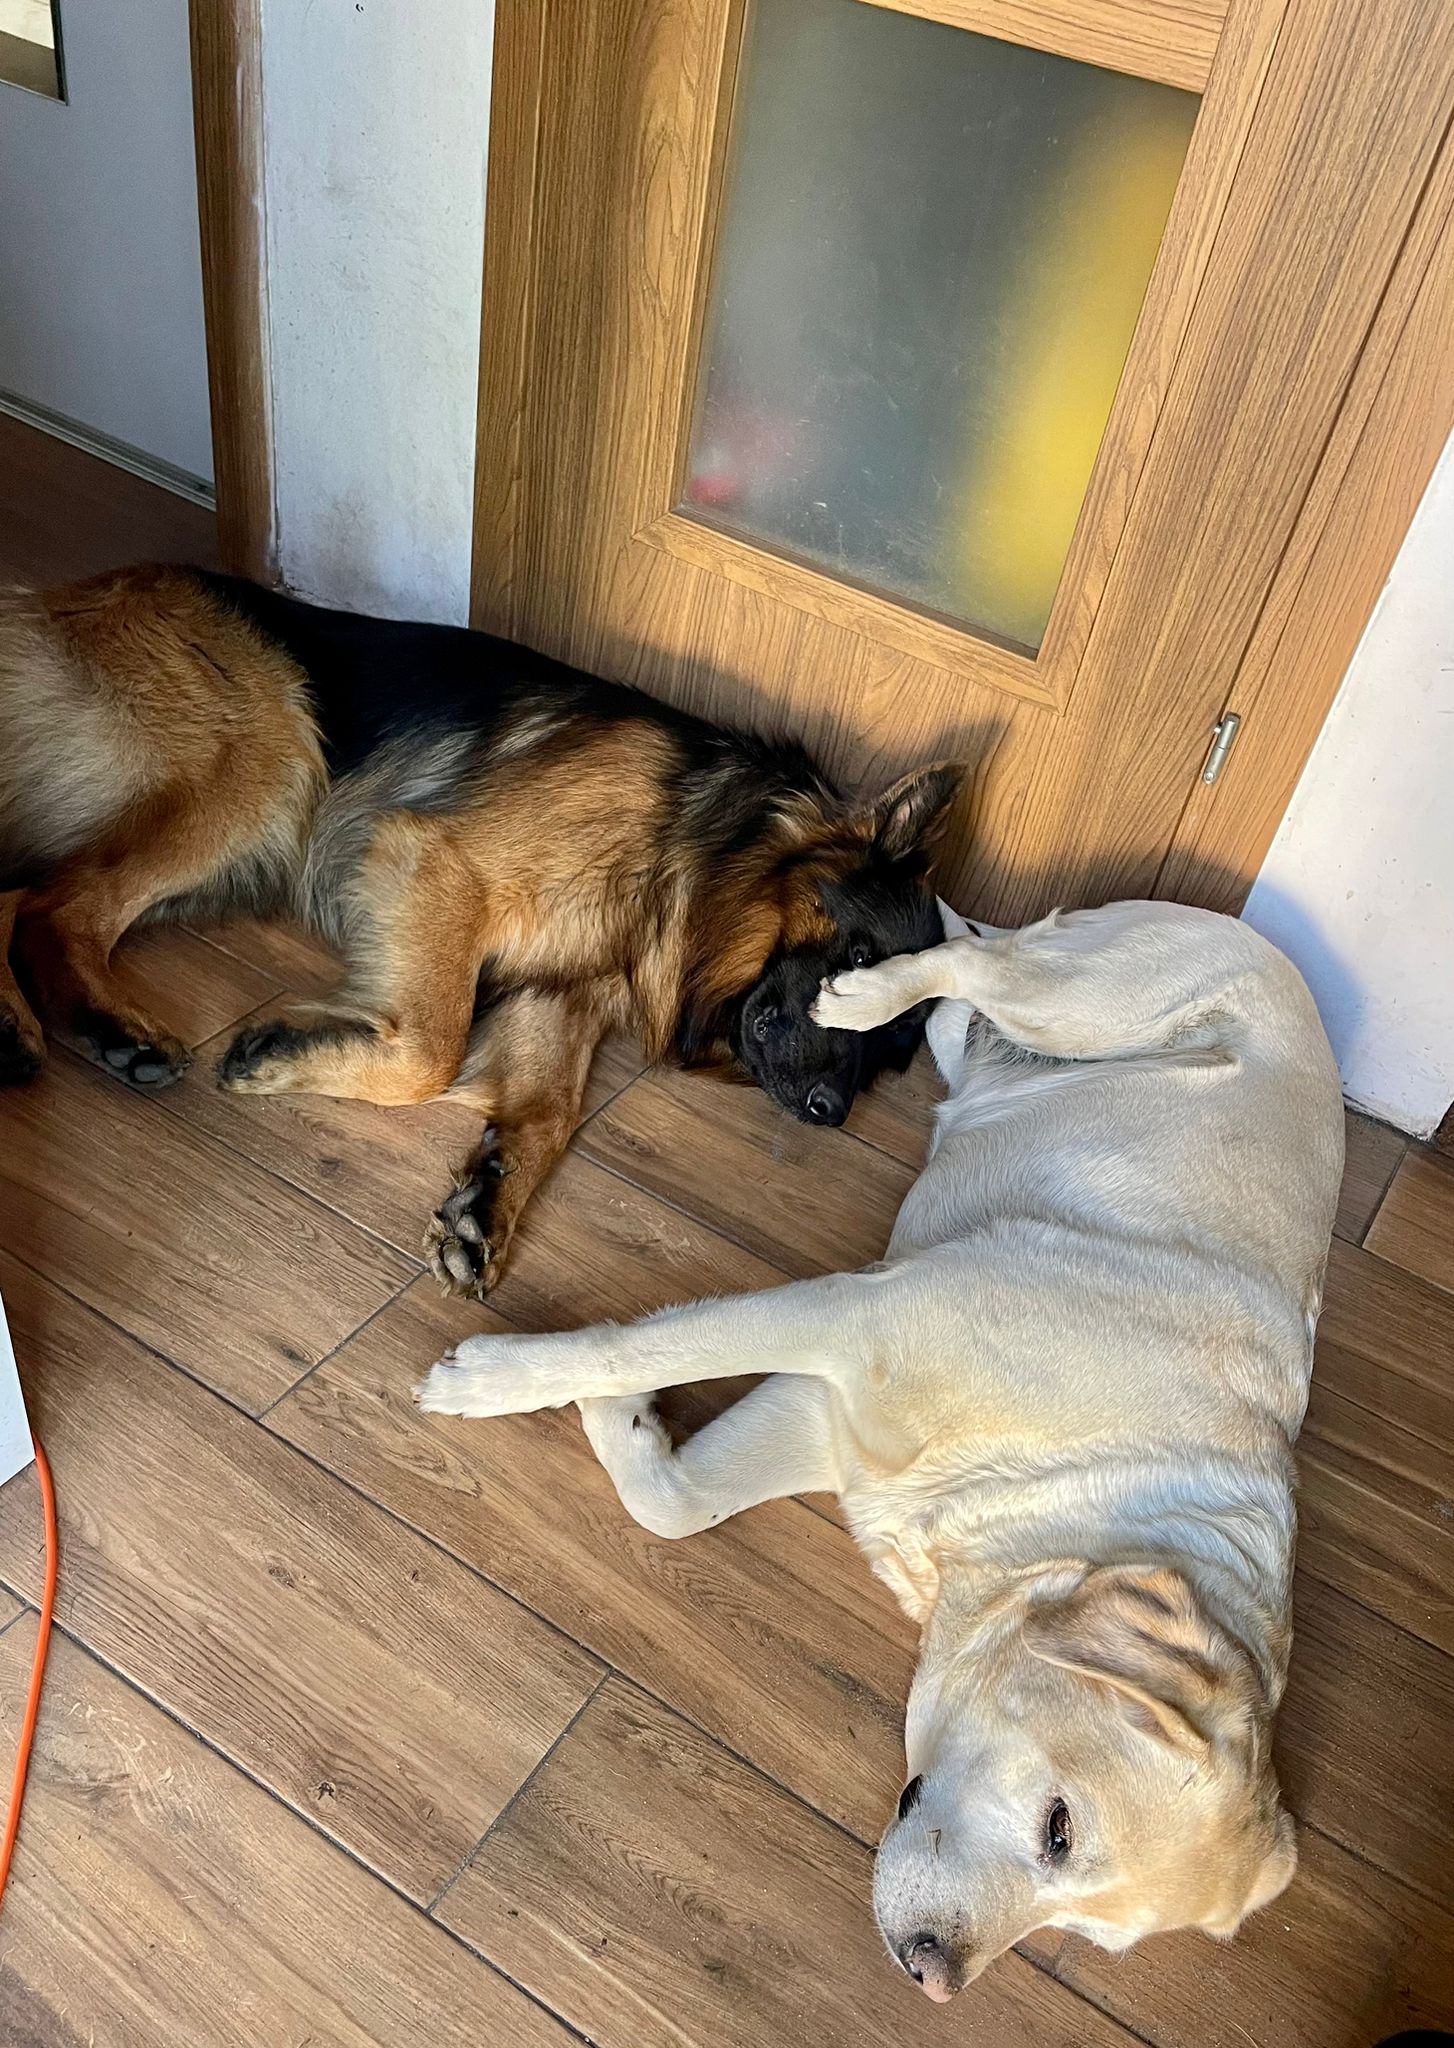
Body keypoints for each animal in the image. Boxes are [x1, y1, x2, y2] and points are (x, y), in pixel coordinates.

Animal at [0, 564, 959, 1292]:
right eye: (860, 962)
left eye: (894, 1057)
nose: (830, 1114)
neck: (697, 844)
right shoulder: (439, 865)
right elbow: (433, 1051)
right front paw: (287, 1055)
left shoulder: (558, 990)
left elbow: (551, 1109)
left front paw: (492, 1197)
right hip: (265, 778)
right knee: (53, 901)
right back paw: (91, 1026)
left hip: (236, 853)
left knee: (26, 896)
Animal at [415, 898, 1344, 1993]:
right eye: (1060, 1828)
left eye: (1079, 1932)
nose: (932, 1977)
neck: (1082, 1489)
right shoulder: (862, 1313)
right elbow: (651, 1339)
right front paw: (493, 1380)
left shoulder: (836, 1407)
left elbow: (673, 1499)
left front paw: (621, 1415)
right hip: (1088, 1000)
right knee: (976, 961)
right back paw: (862, 986)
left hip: (1025, 1041)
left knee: (971, 979)